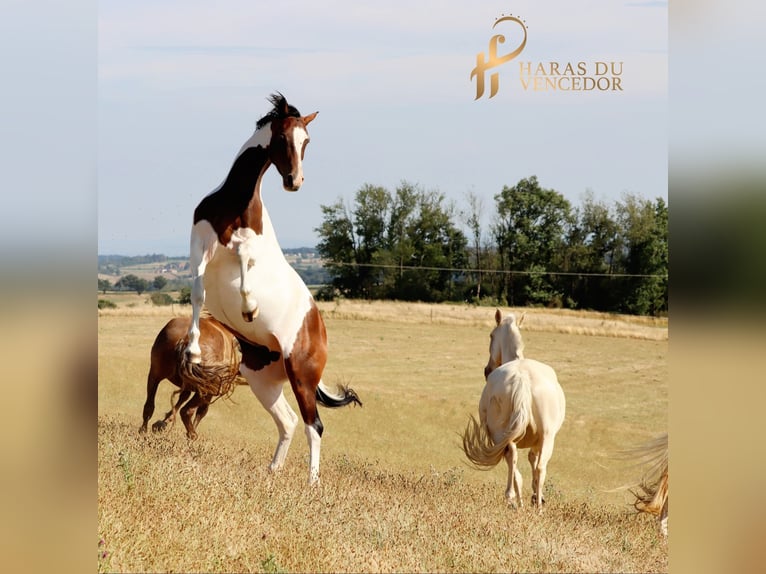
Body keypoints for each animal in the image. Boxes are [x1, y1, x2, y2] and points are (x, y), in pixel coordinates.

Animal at [183, 92, 362, 484]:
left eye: (306, 141)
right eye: (282, 139)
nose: (295, 181)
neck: (234, 205)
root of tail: (317, 328)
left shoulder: (248, 250)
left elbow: (245, 265)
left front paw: (249, 308)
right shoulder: (200, 248)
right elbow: (198, 293)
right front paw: (191, 351)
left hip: (301, 377)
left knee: (314, 426)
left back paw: (313, 483)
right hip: (264, 380)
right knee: (289, 421)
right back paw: (273, 470)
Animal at [462, 309, 566, 512]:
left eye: (491, 335)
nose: (487, 370)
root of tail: (521, 378)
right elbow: (533, 460)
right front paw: (536, 497)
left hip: (503, 436)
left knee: (516, 460)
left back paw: (515, 499)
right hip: (546, 437)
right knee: (537, 466)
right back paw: (535, 507)